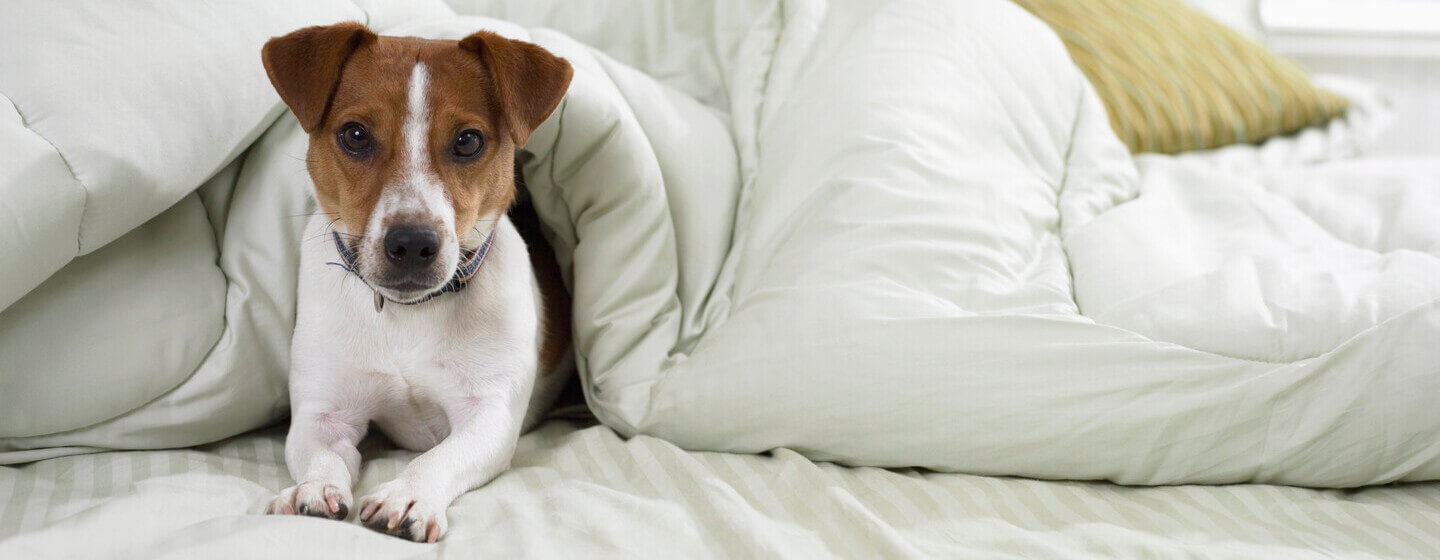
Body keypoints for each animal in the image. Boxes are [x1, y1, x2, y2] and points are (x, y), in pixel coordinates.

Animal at [259, 22, 573, 541]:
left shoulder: (489, 412)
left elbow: (439, 456)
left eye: (467, 141)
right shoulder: (323, 412)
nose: (411, 243)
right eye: (355, 135)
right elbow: (322, 453)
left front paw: (407, 495)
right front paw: (313, 487)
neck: (409, 315)